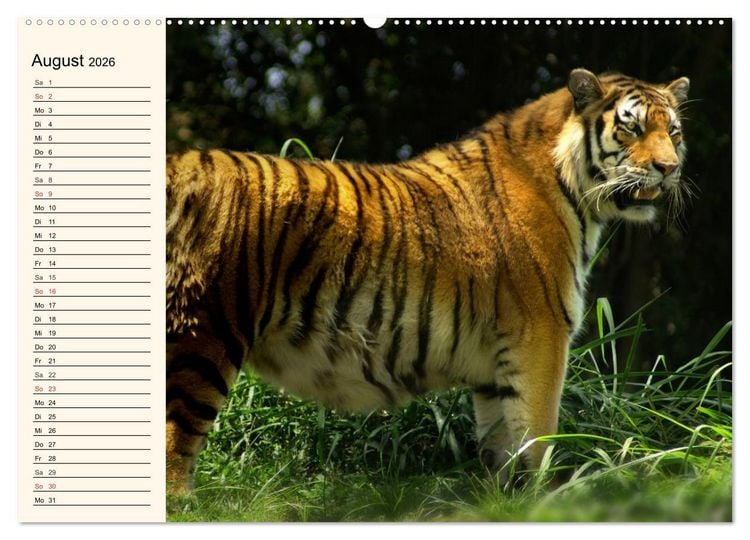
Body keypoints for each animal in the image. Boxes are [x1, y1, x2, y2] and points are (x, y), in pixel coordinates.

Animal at [165, 68, 690, 495]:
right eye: (631, 126)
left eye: (674, 131)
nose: (670, 168)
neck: (572, 188)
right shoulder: (542, 336)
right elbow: (539, 439)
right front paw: (545, 500)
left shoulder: (495, 367)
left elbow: (502, 451)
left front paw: (505, 505)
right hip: (200, 334)